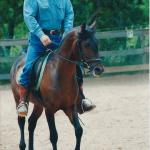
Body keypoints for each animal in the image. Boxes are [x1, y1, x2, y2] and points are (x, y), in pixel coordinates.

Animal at [9, 22, 102, 150]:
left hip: (38, 105)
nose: (99, 69)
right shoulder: (49, 110)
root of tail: (17, 62)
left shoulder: (70, 107)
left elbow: (79, 131)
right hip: (18, 99)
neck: (59, 73)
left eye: (97, 43)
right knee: (21, 122)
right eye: (86, 44)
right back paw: (22, 145)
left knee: (31, 123)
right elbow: (54, 136)